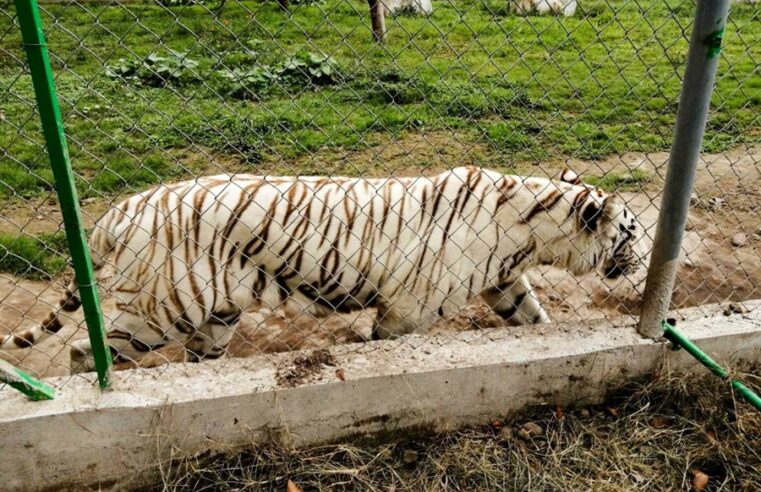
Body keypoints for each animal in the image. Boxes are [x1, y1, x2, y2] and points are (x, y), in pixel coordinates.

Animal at [1, 166, 640, 372]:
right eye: (632, 232)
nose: (640, 261)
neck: (531, 231)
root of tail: (122, 207)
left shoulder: (505, 281)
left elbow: (534, 319)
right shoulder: (408, 308)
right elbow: (387, 343)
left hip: (215, 315)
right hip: (163, 308)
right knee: (85, 351)